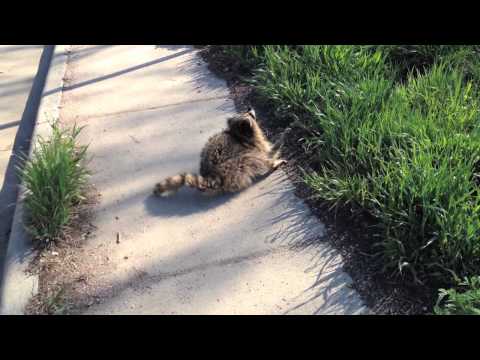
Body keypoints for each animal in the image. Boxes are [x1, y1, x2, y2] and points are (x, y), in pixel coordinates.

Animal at [154, 107, 286, 197]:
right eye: (248, 114)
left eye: (245, 111)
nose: (249, 107)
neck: (237, 133)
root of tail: (212, 175)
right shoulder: (252, 145)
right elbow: (265, 152)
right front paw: (276, 149)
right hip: (235, 163)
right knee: (255, 159)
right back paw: (272, 165)